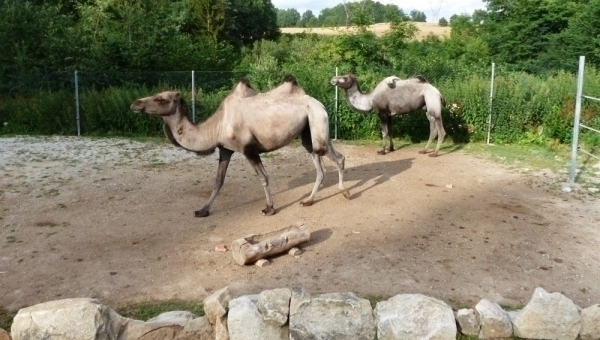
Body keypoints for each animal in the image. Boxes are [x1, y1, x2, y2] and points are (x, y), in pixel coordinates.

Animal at [129, 75, 350, 218]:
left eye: (160, 99)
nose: (135, 104)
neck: (216, 127)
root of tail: (319, 103)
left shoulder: (248, 149)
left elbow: (264, 178)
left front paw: (269, 208)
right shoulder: (225, 149)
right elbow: (218, 181)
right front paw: (203, 210)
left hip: (317, 120)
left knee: (335, 156)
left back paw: (345, 192)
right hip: (307, 132)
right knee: (321, 165)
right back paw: (309, 201)